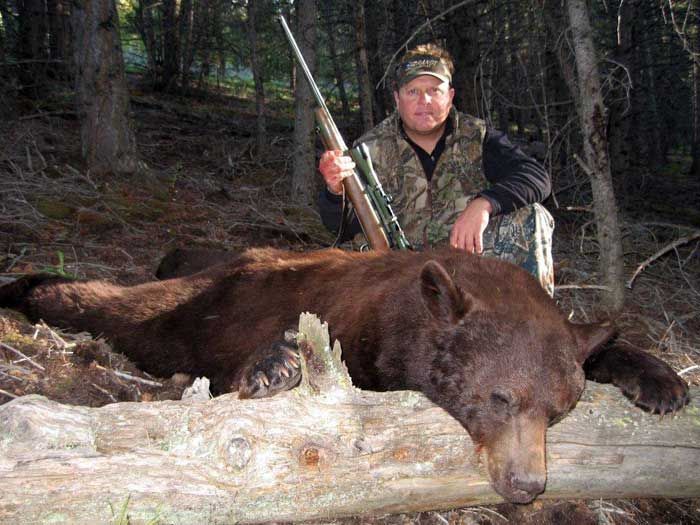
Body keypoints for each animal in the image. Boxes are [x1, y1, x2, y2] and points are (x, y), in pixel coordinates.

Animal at [0, 247, 689, 504]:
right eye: (499, 397)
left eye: (559, 411)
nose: (526, 486)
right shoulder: (359, 332)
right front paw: (273, 364)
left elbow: (598, 341)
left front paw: (663, 380)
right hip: (192, 312)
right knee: (123, 307)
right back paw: (27, 284)